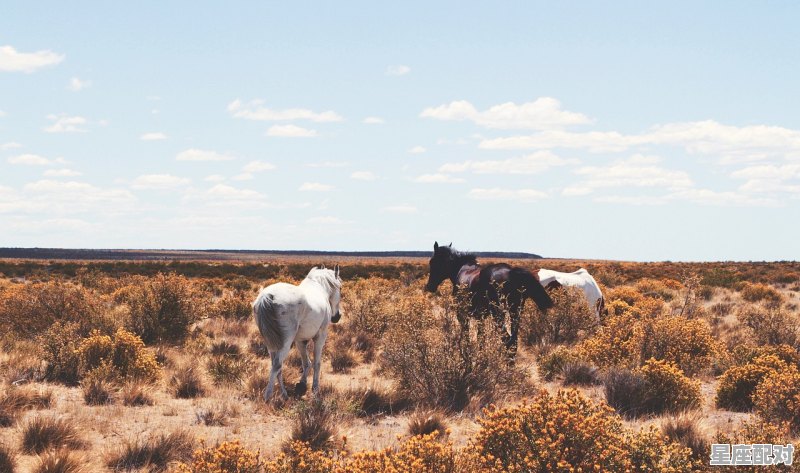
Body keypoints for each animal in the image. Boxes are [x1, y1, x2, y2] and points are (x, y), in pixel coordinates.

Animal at [253, 264, 340, 400]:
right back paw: (268, 396)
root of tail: (267, 296)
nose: (337, 317)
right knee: (277, 365)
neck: (320, 289)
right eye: (340, 288)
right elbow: (316, 363)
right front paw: (315, 388)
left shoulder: (300, 340)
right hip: (285, 343)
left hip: (271, 343)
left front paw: (302, 383)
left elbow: (306, 363)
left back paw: (284, 394)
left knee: (276, 366)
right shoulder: (320, 336)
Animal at [424, 243, 552, 350]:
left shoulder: (462, 314)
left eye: (432, 261)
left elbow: (467, 334)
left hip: (498, 314)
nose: (430, 286)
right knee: (513, 341)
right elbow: (480, 336)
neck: (461, 269)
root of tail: (511, 272)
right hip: (515, 311)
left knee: (507, 339)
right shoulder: (480, 316)